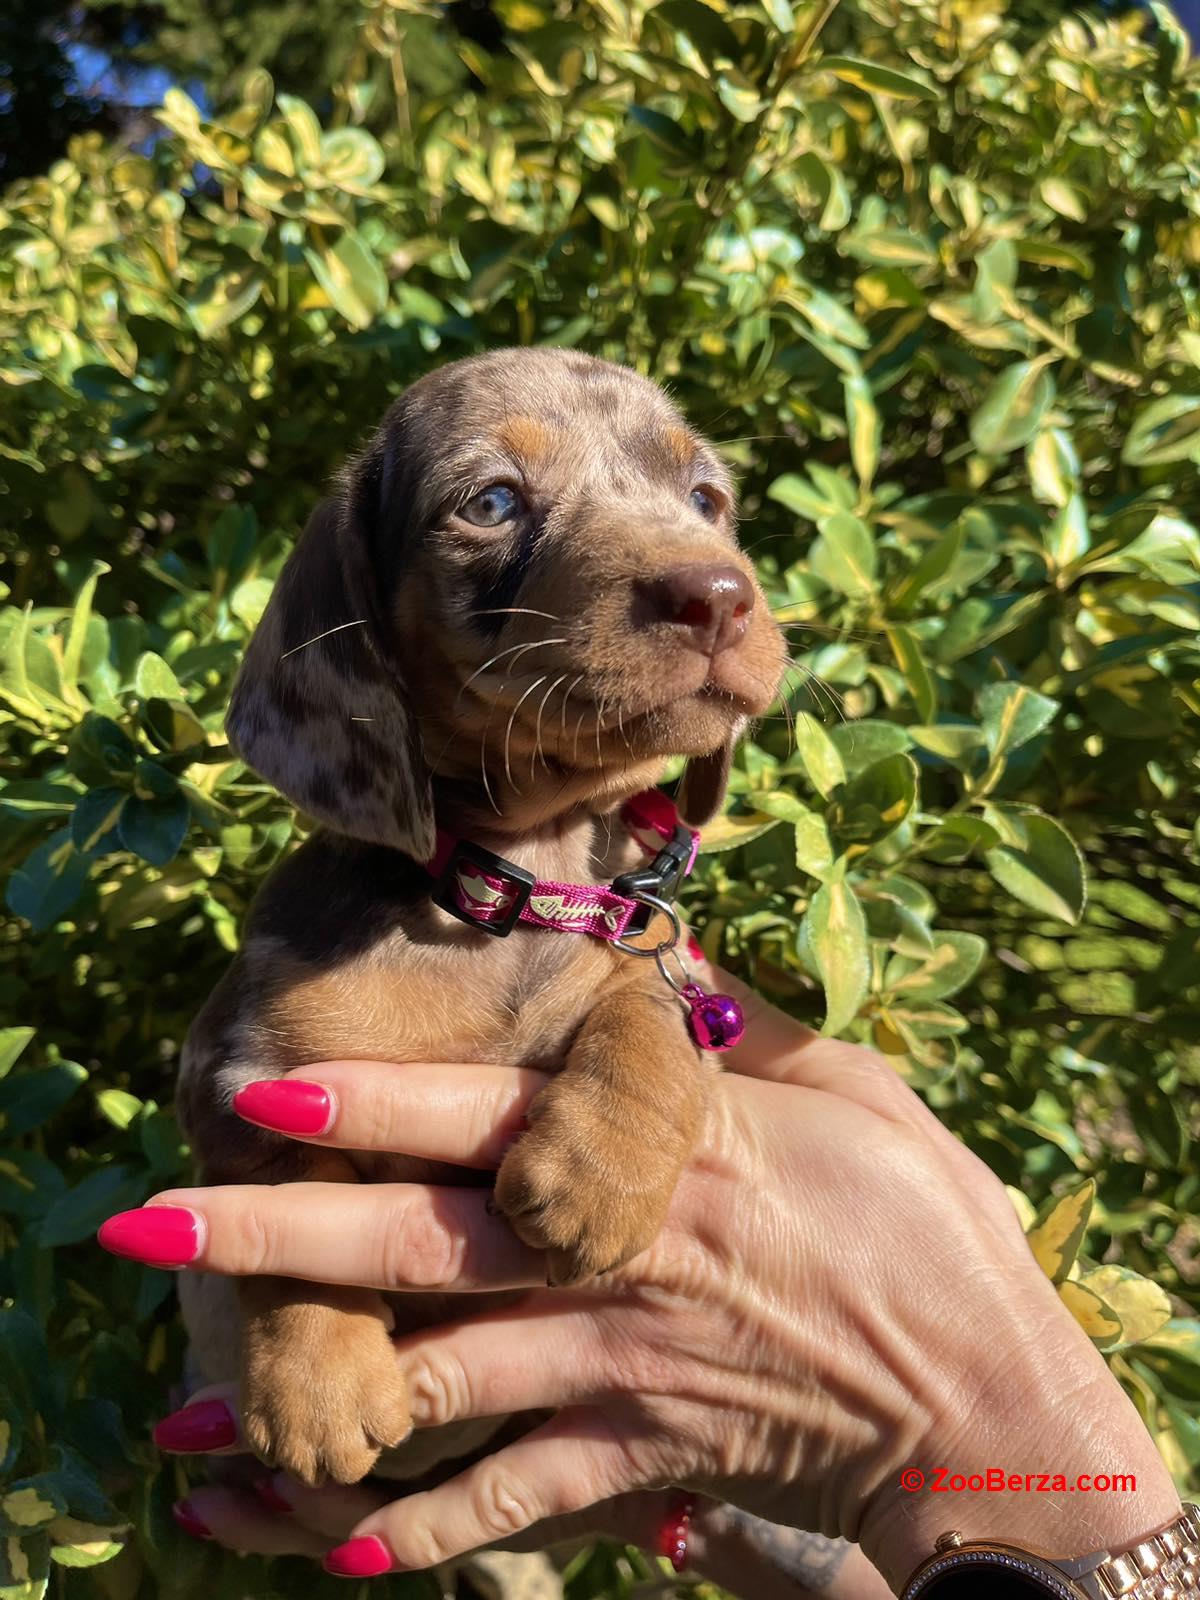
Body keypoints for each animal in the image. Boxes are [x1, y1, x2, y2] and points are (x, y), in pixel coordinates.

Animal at [173, 347, 784, 1484]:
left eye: (706, 500)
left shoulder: (657, 962)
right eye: (492, 502)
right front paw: (319, 1382)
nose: (718, 594)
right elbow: (288, 1204)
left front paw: (601, 1172)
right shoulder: (232, 1077)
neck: (515, 884)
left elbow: (653, 1011)